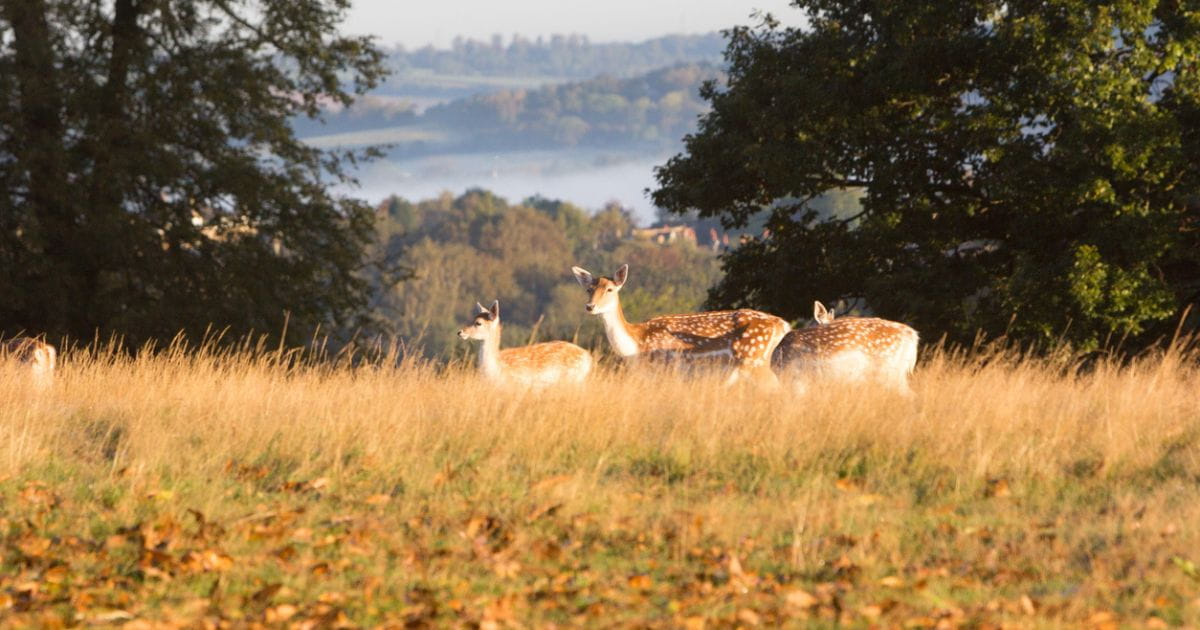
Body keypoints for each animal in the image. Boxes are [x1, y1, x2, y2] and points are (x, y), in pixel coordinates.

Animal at [571, 264, 790, 385]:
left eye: (610, 289)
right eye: (589, 289)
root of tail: (783, 324)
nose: (590, 306)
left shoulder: (667, 368)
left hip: (754, 360)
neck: (636, 343)